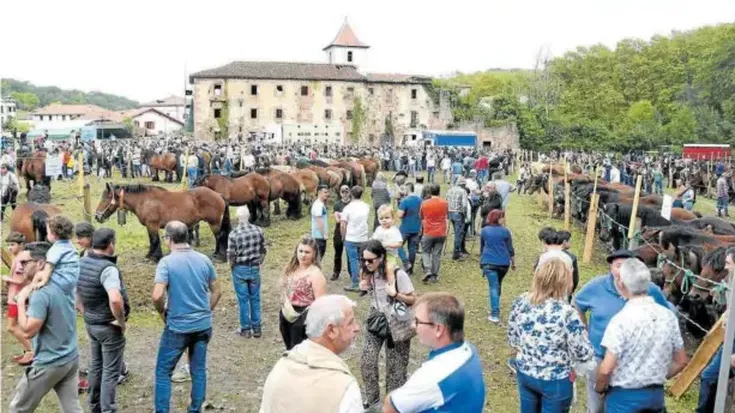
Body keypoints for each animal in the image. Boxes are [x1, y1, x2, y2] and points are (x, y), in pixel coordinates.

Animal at [95, 183, 231, 260]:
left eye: (106, 198)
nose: (97, 216)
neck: (145, 200)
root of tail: (218, 194)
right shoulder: (151, 226)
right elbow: (153, 240)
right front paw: (152, 255)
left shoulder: (152, 225)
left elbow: (154, 240)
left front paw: (153, 257)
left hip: (214, 223)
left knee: (220, 236)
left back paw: (219, 255)